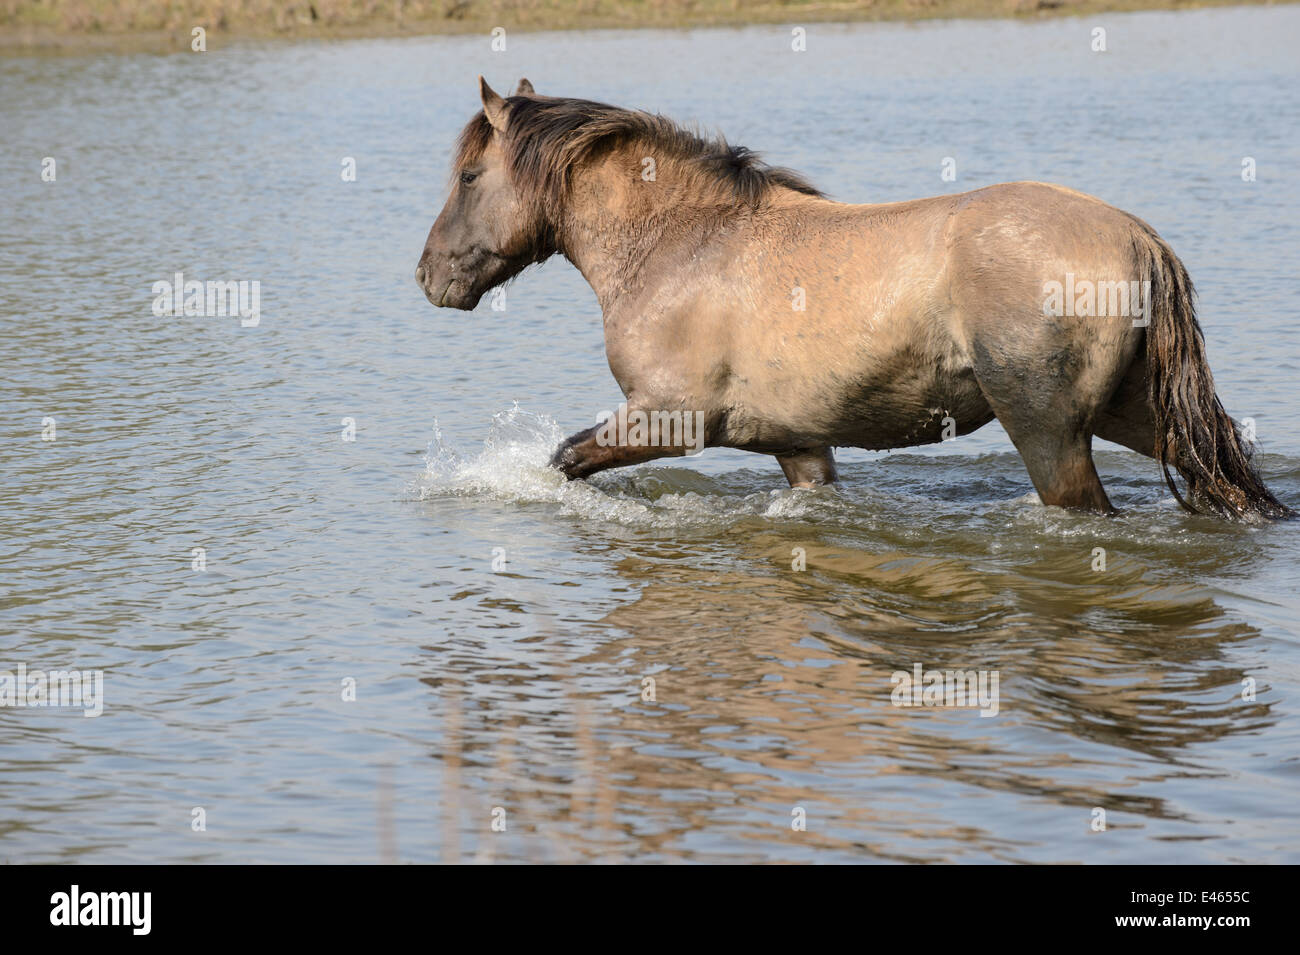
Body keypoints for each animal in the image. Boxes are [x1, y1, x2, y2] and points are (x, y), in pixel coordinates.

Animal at [416, 78, 1289, 522]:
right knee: (1227, 479)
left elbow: (564, 460)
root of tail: (1138, 239)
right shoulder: (799, 445)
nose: (429, 276)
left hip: (1050, 432)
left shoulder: (670, 416)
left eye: (471, 176)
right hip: (1135, 414)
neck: (683, 243)